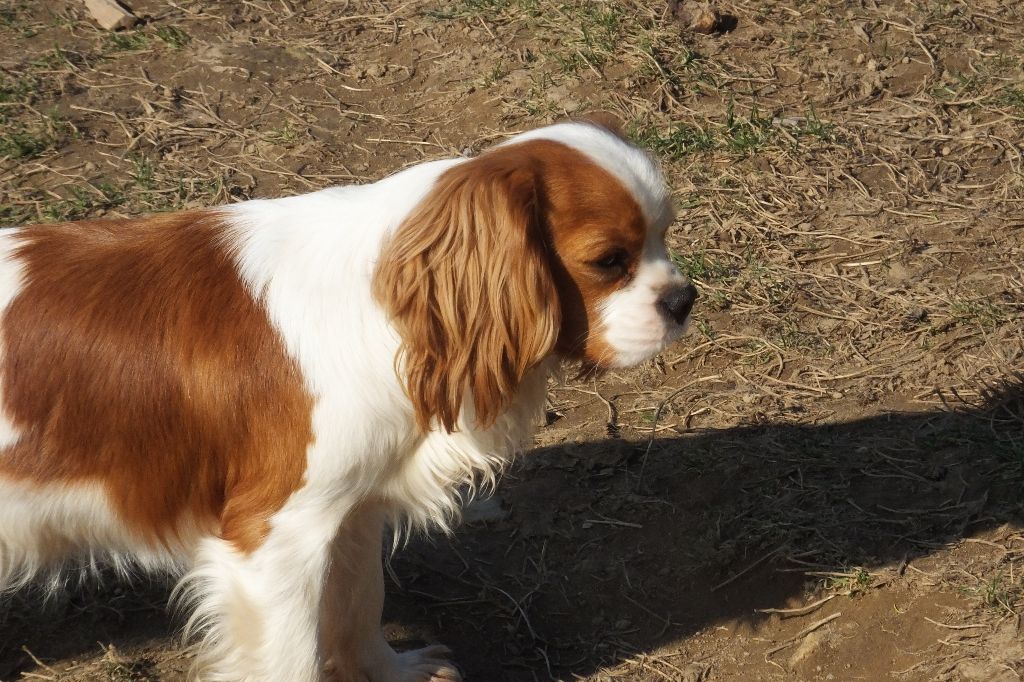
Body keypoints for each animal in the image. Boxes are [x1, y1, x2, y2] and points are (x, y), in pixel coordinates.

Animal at [0, 119, 696, 675]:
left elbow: (361, 605)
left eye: (665, 237)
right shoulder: (273, 541)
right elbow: (293, 660)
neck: (389, 310)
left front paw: (393, 672)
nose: (684, 298)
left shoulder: (352, 511)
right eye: (608, 261)